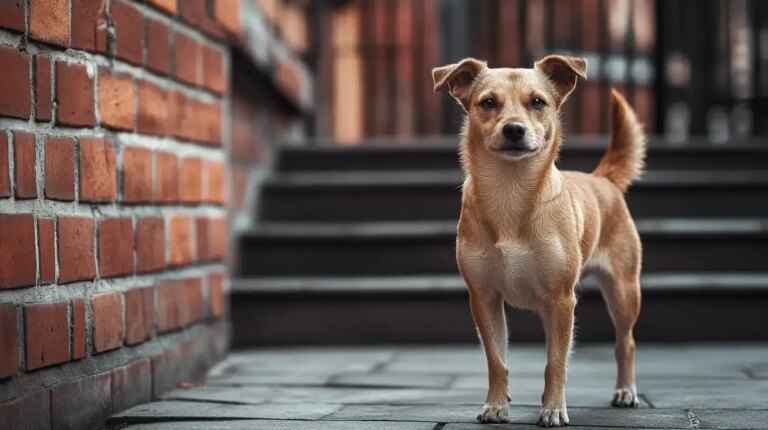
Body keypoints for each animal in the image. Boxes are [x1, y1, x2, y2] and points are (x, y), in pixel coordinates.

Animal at [436, 56, 644, 426]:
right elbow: (497, 359)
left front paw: (554, 409)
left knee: (626, 342)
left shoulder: (562, 300)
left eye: (537, 102)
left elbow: (556, 363)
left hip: (623, 292)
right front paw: (497, 405)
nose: (514, 130)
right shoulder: (484, 299)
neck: (510, 192)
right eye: (487, 103)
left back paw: (625, 390)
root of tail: (602, 179)